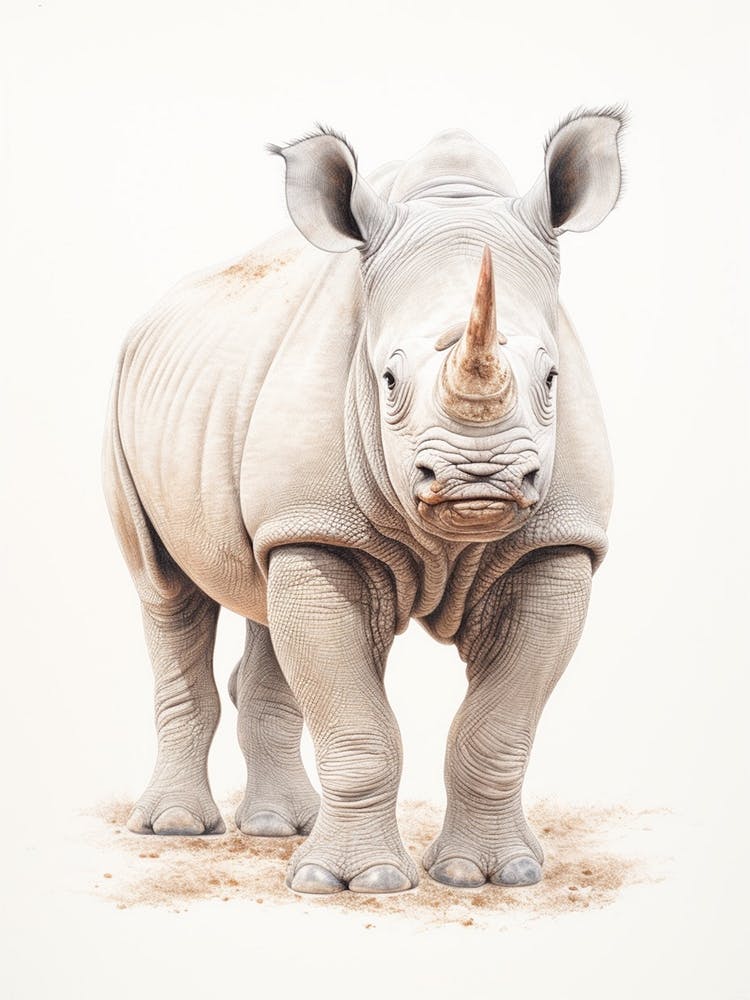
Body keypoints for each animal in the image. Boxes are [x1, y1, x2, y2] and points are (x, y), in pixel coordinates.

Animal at [103, 106, 625, 895]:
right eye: (387, 380)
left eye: (552, 378)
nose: (480, 478)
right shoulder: (322, 526)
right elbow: (357, 721)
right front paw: (355, 884)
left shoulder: (556, 541)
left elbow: (498, 726)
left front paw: (494, 874)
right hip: (128, 395)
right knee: (166, 590)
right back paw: (178, 828)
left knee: (264, 592)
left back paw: (278, 829)